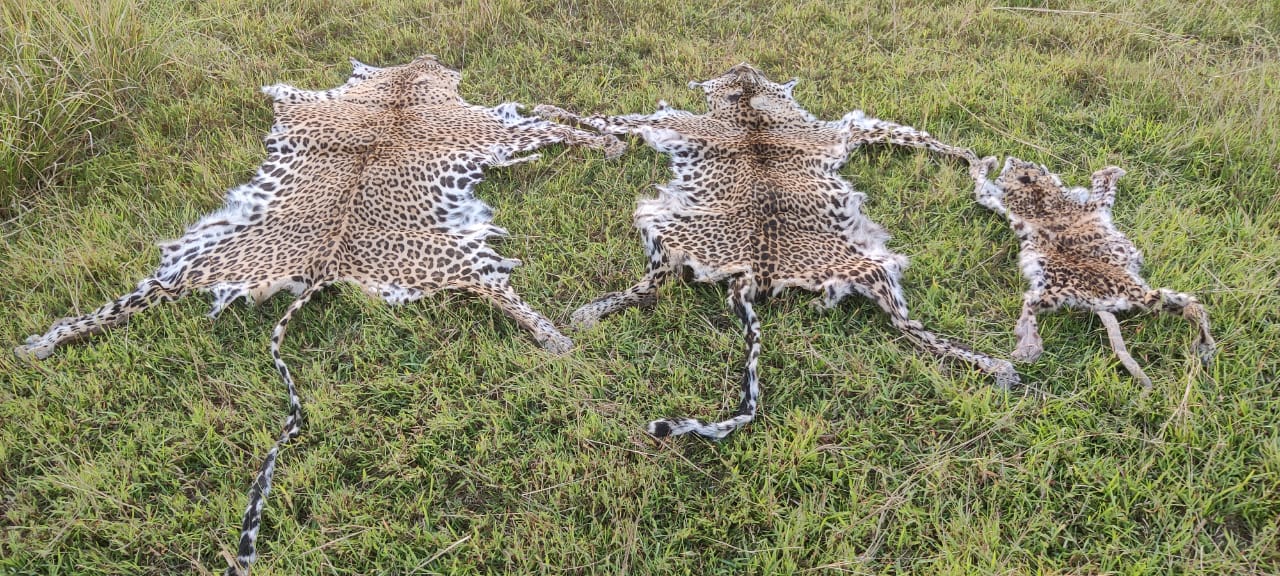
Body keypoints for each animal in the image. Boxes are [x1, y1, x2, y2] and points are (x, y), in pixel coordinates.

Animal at [13, 55, 623, 575]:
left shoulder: (314, 97)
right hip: (463, 259)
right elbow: (553, 126)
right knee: (503, 295)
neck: (402, 88)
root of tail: (324, 262)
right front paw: (609, 139)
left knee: (132, 300)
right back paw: (557, 336)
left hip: (196, 262)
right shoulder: (495, 128)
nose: (440, 65)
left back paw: (40, 342)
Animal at [536, 63, 1020, 441]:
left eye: (739, 74)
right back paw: (998, 366)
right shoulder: (847, 129)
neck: (751, 106)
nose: (744, 63)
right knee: (910, 327)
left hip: (658, 223)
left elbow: (603, 118)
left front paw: (549, 111)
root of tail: (757, 271)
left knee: (651, 286)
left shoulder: (662, 122)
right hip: (868, 269)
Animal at [971, 155, 1215, 387]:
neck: (1040, 197)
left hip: (1056, 289)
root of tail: (1132, 292)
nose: (1010, 159)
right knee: (1191, 306)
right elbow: (982, 186)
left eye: (1024, 164)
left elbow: (980, 185)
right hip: (1063, 290)